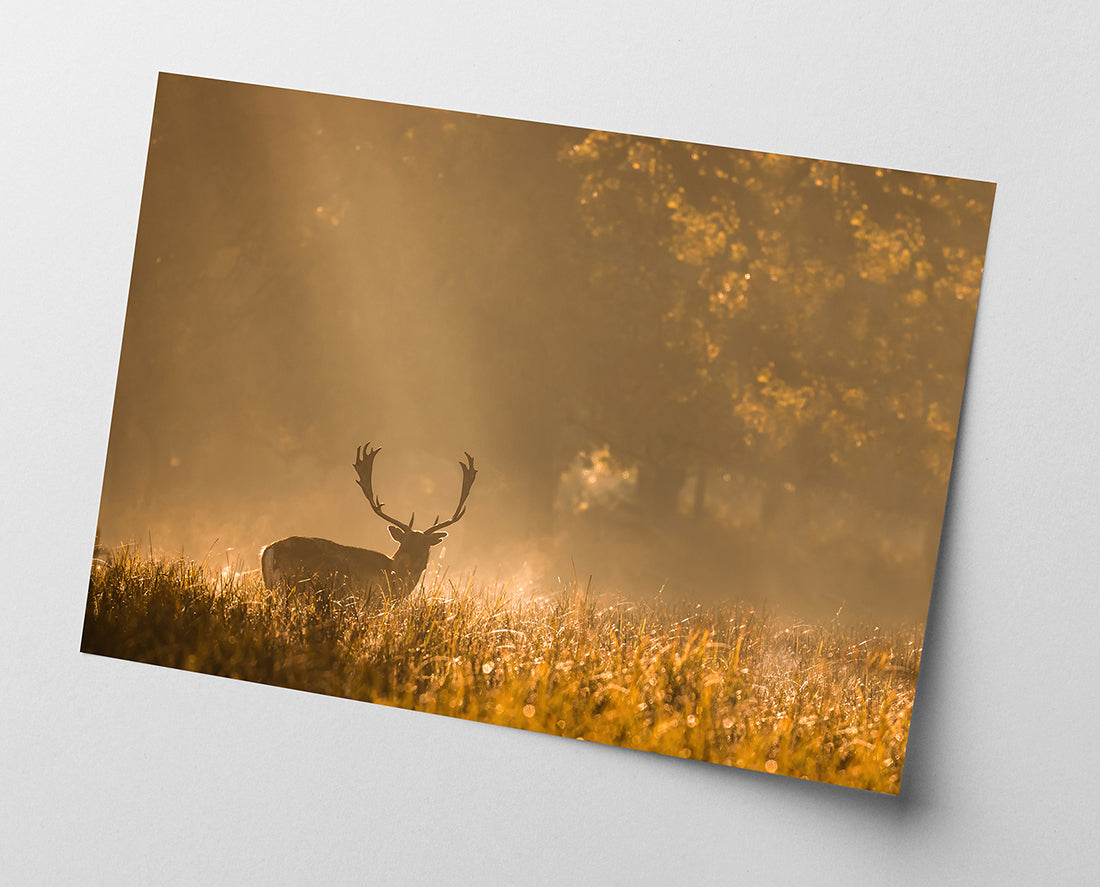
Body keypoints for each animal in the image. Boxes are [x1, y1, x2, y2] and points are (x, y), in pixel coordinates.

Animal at [260, 443, 477, 606]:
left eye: (426, 545)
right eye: (404, 542)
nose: (415, 564)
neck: (393, 576)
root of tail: (269, 550)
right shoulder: (369, 599)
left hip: (272, 587)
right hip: (294, 586)